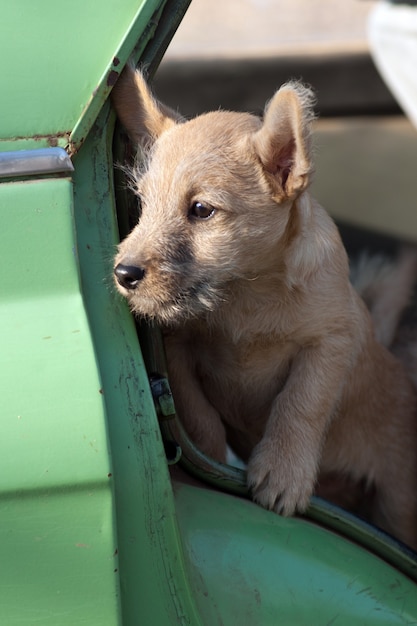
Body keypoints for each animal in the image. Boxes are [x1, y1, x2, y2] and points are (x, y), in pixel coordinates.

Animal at [110, 66, 416, 544]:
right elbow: (198, 414)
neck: (246, 295)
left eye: (201, 209)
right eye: (143, 203)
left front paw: (282, 473)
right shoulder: (177, 349)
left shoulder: (331, 341)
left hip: (398, 504)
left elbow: (301, 402)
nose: (124, 273)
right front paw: (210, 464)